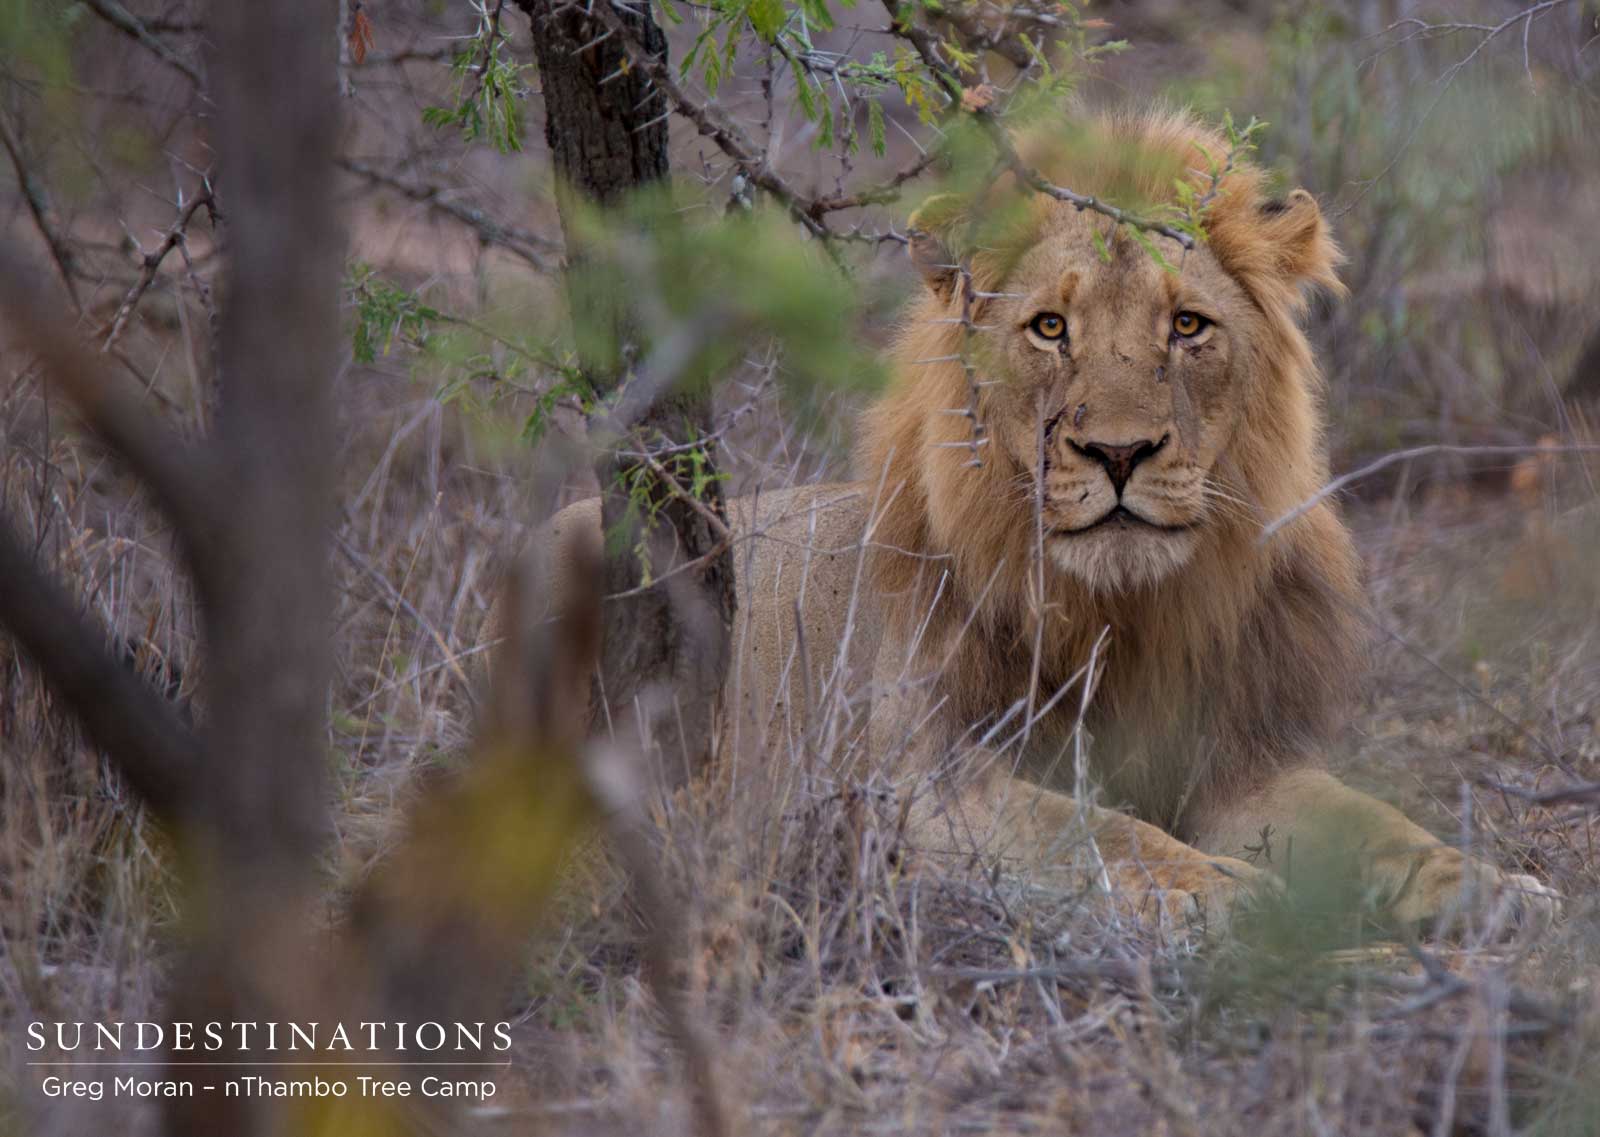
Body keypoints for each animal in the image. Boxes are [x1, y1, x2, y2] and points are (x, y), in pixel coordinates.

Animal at [514, 109, 1558, 933]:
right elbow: (1100, 829)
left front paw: (1490, 887)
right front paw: (1218, 890)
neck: (1125, 617)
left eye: (1188, 326)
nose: (1120, 453)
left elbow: (1375, 826)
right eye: (1050, 329)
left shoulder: (1245, 764)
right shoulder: (919, 778)